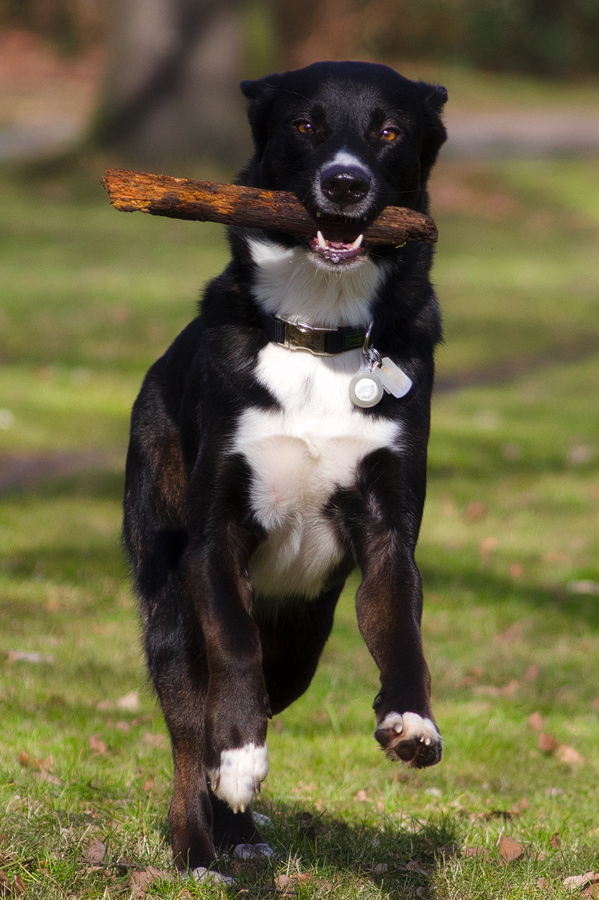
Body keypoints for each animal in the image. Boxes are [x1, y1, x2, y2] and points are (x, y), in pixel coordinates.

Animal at [122, 58, 448, 880]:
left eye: (388, 131)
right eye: (305, 124)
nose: (345, 183)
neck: (318, 331)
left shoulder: (388, 535)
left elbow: (403, 632)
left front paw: (412, 722)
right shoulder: (213, 545)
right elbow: (230, 658)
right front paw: (239, 761)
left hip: (301, 636)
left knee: (268, 686)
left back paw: (236, 829)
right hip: (169, 603)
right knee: (189, 725)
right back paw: (200, 843)